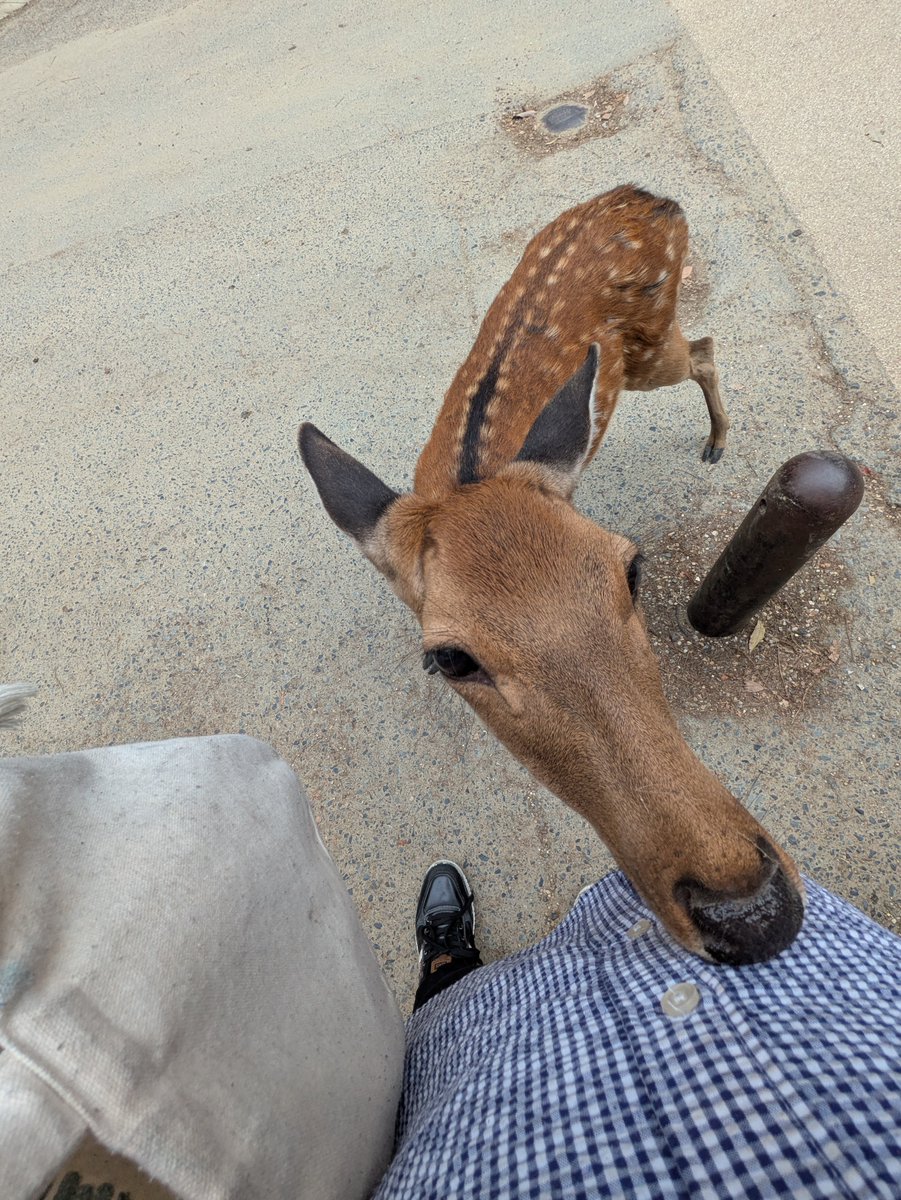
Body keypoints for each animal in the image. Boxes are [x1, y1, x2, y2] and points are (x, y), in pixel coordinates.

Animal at [299, 185, 804, 966]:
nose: (752, 909)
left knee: (704, 349)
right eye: (449, 659)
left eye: (630, 570)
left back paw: (718, 441)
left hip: (652, 348)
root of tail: (654, 198)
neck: (463, 483)